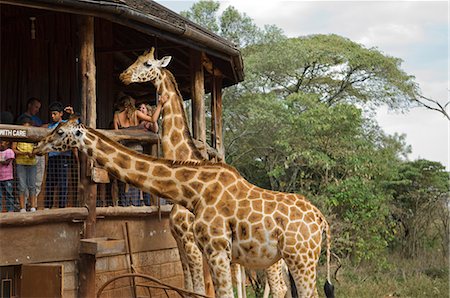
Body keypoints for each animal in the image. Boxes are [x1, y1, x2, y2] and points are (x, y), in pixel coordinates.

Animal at [32, 118, 334, 298]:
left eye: (60, 131)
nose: (37, 147)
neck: (193, 192)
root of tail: (321, 220)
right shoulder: (207, 250)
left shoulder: (217, 249)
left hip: (301, 258)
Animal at [119, 49, 288, 298]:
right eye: (135, 59)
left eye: (147, 63)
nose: (123, 75)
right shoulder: (179, 243)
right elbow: (188, 288)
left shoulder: (191, 242)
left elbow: (199, 290)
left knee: (279, 288)